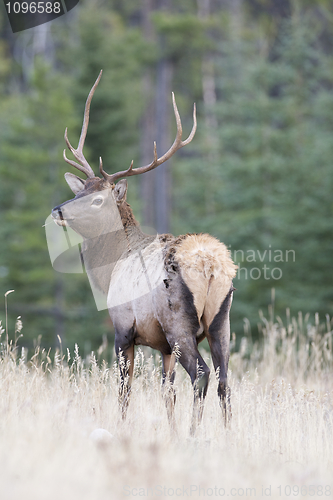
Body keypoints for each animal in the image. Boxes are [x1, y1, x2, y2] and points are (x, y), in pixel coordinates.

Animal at [51, 71, 236, 434]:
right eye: (80, 191)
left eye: (98, 199)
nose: (58, 210)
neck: (107, 270)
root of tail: (210, 265)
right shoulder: (163, 348)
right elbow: (167, 393)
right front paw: (171, 432)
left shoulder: (124, 329)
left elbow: (125, 389)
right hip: (221, 321)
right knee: (225, 380)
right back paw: (227, 435)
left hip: (179, 324)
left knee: (202, 375)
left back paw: (195, 434)